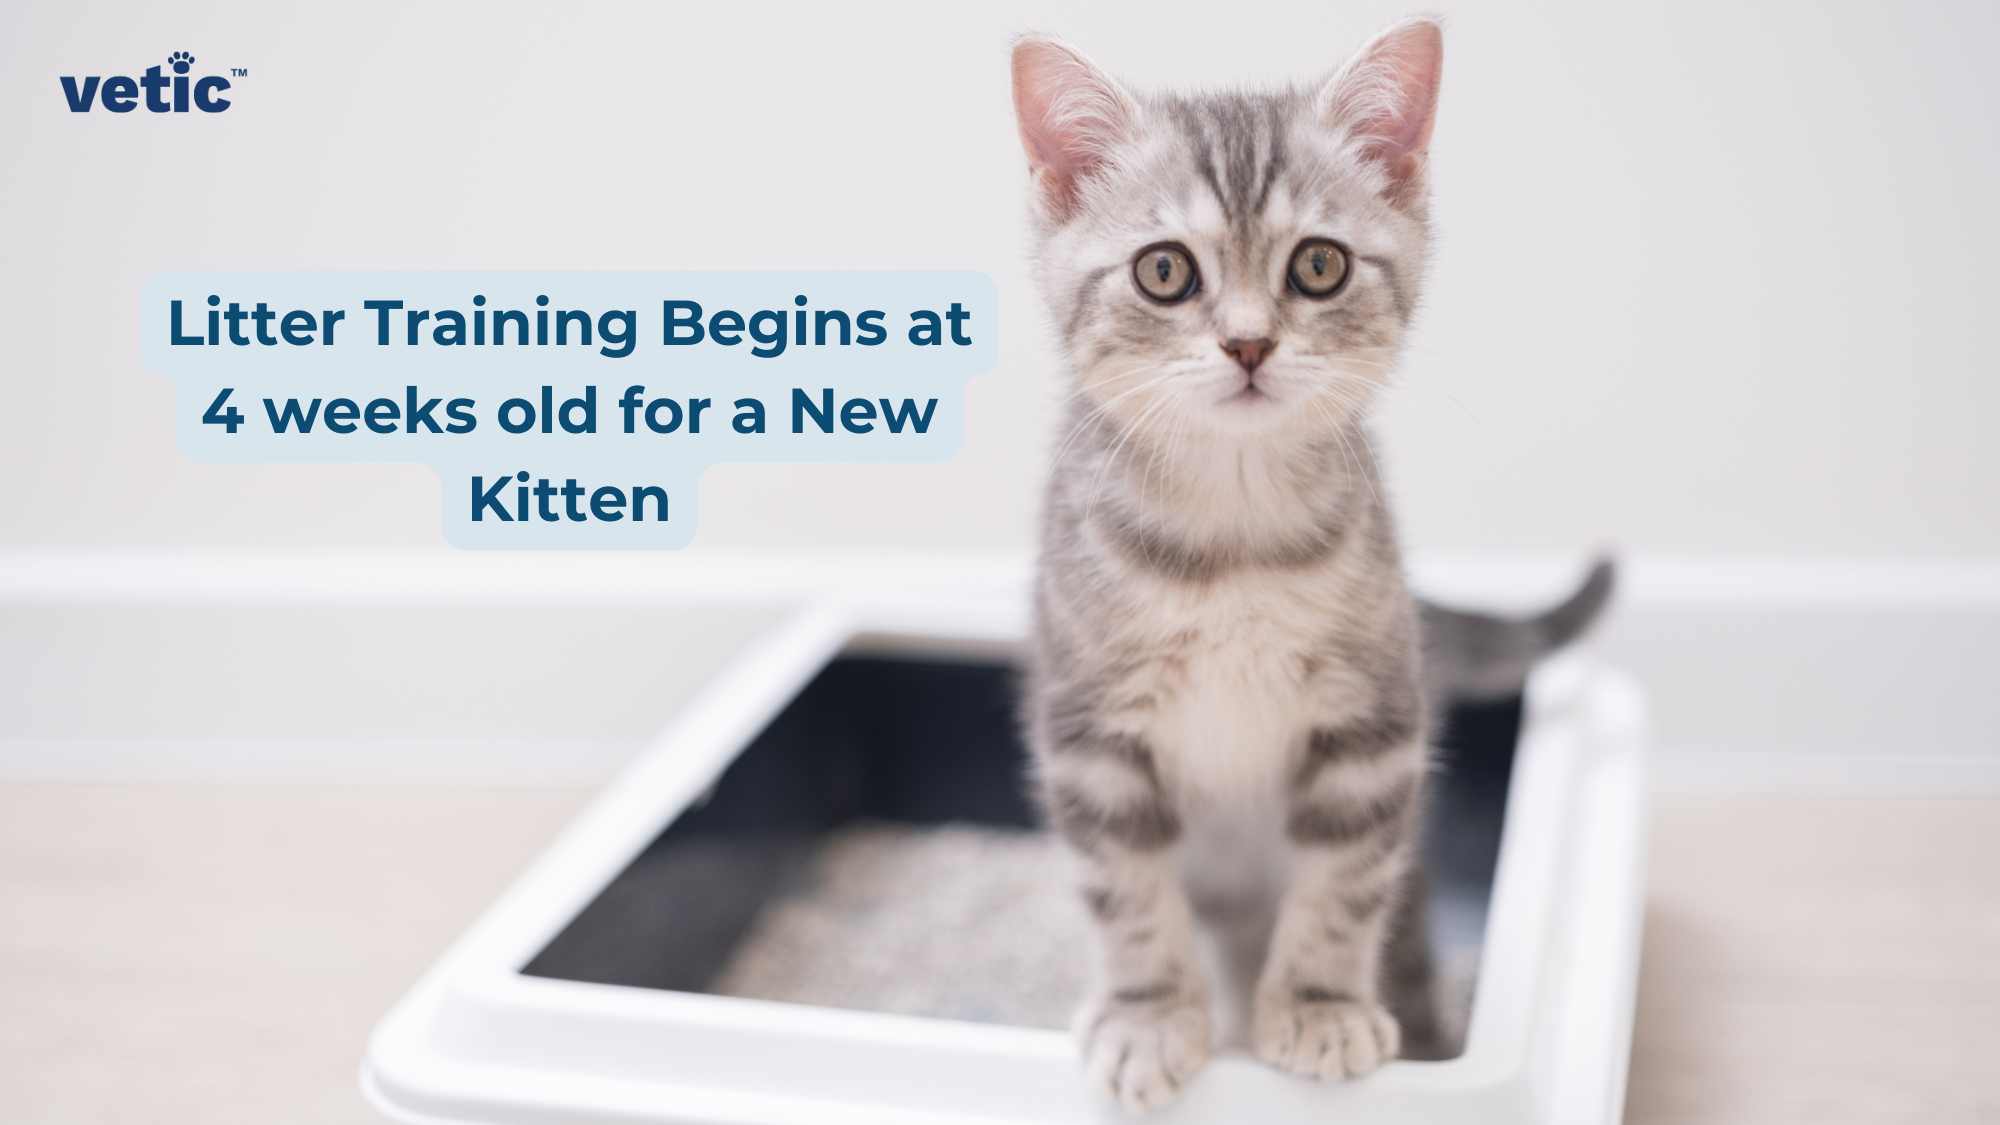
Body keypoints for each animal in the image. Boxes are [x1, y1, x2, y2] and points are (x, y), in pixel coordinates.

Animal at [1024, 21, 1600, 1104]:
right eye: (1163, 272)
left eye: (1319, 266)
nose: (1249, 343)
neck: (1232, 537)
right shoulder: (1089, 732)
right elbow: (1125, 888)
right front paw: (1148, 1015)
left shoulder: (1374, 723)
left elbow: (1341, 884)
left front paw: (1320, 1007)